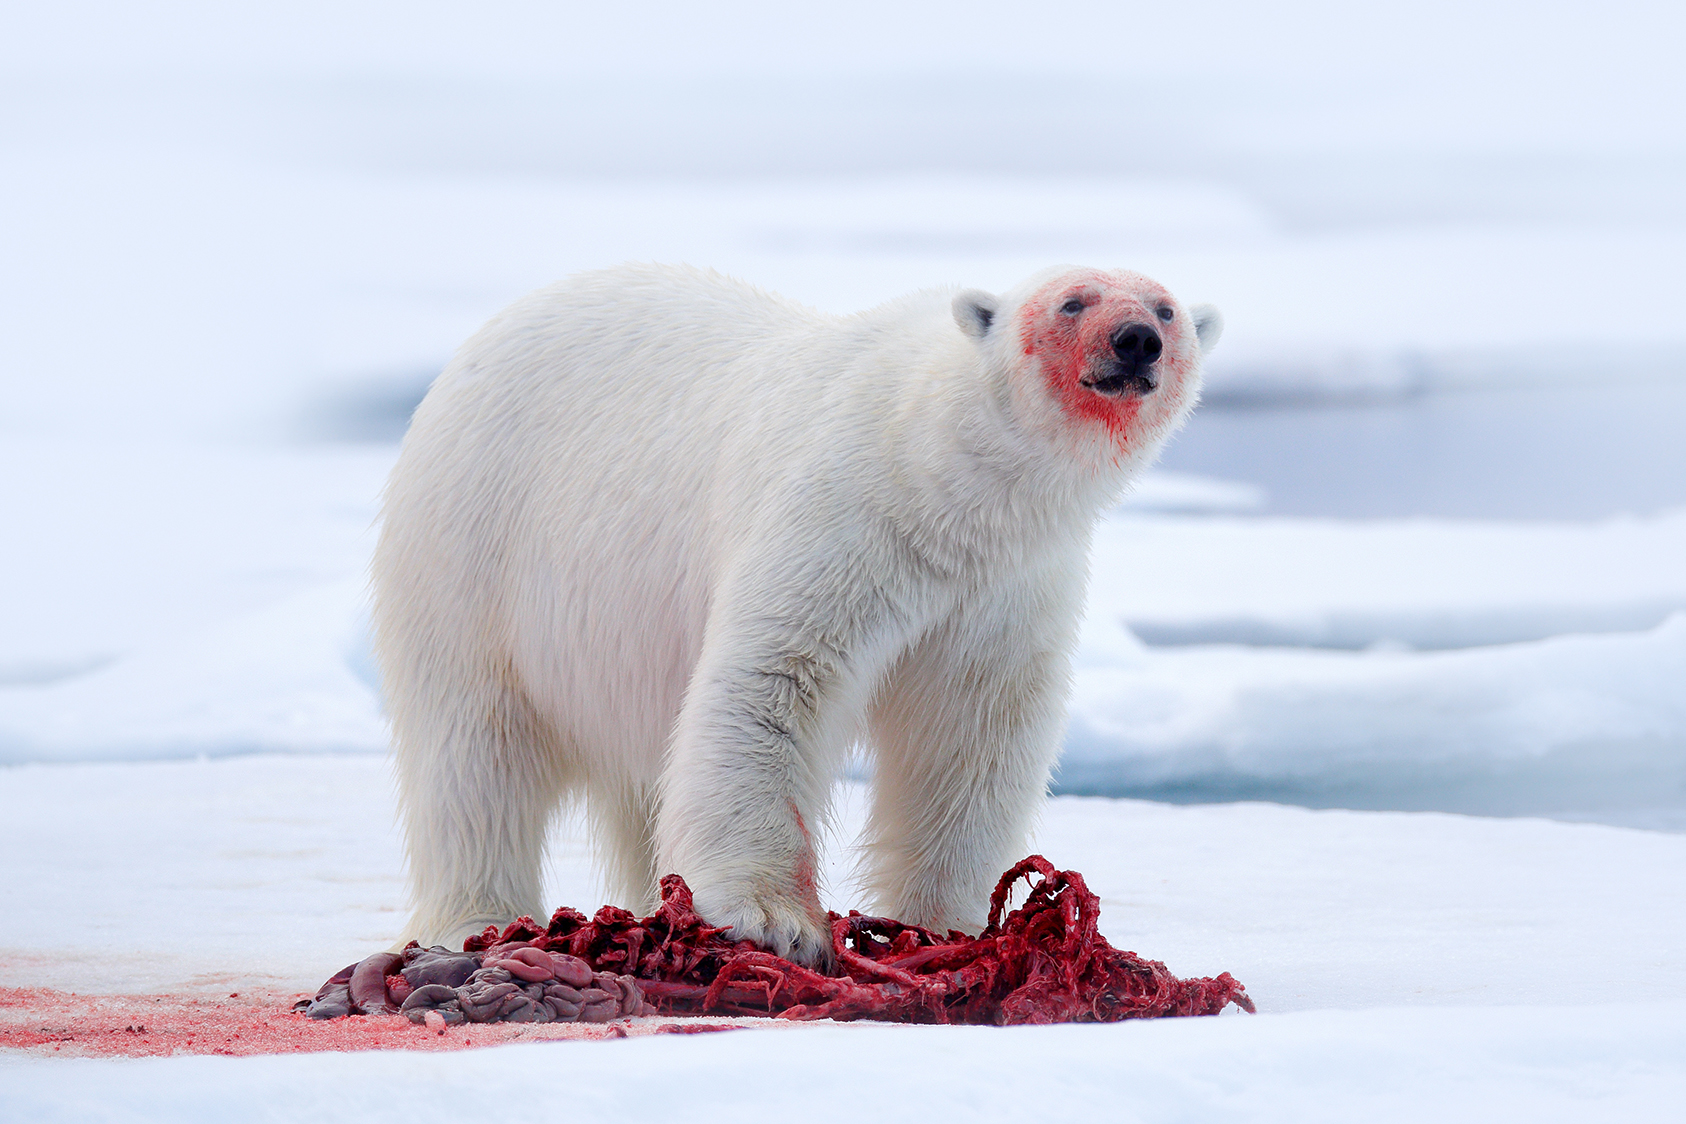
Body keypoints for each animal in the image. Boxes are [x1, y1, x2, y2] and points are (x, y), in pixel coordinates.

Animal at [375, 259, 1227, 963]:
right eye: (1072, 299)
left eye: (1167, 308)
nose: (1136, 340)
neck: (943, 476)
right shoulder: (846, 515)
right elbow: (776, 680)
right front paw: (771, 919)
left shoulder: (1007, 587)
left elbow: (971, 731)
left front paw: (950, 924)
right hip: (474, 547)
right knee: (475, 752)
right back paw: (476, 918)